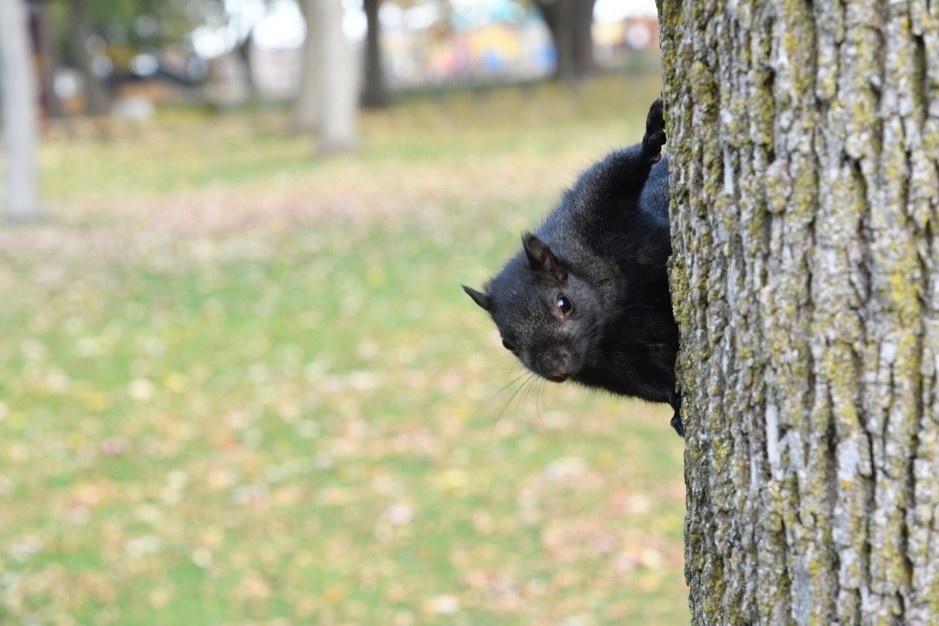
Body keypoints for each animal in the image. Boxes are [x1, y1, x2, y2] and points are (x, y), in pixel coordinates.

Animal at [463, 99, 682, 436]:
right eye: (506, 343)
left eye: (563, 303)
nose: (555, 369)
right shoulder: (605, 366)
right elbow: (646, 383)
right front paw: (676, 402)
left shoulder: (592, 209)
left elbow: (617, 169)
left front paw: (651, 138)